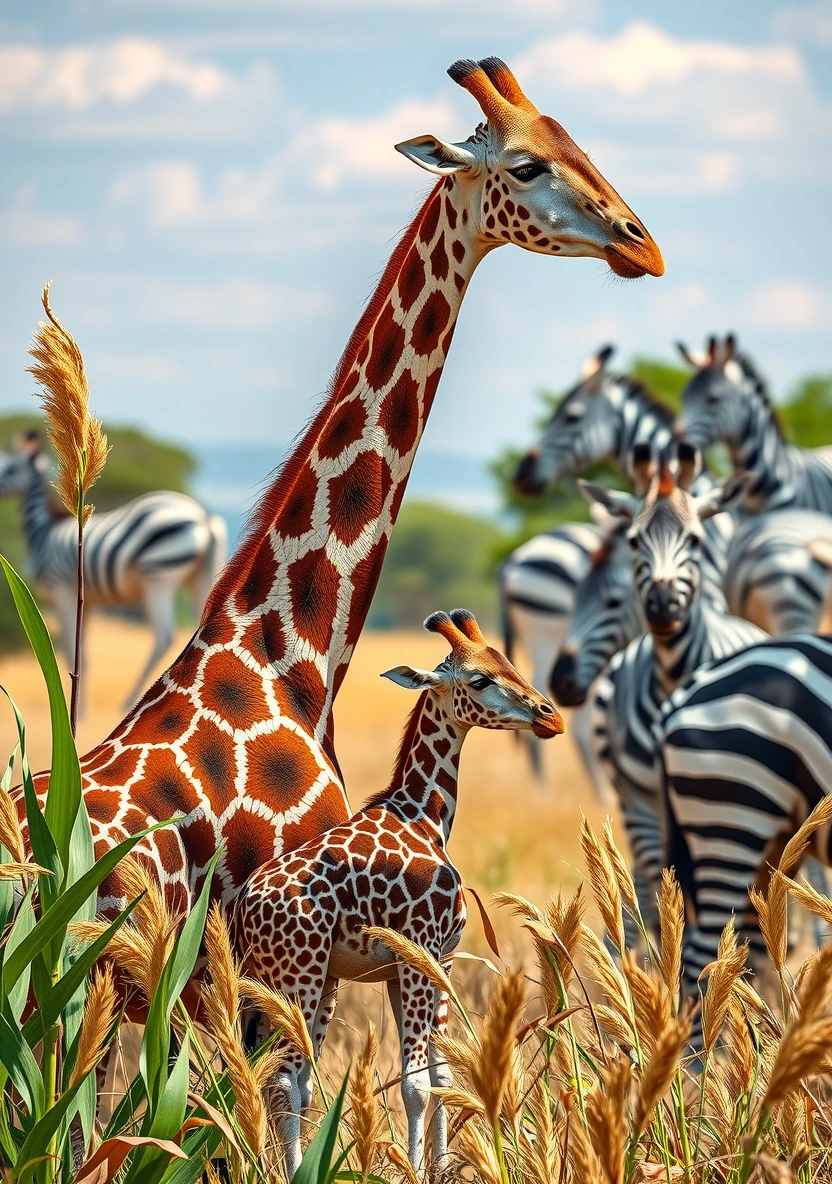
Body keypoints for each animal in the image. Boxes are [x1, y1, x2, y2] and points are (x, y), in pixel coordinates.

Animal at [0, 432, 228, 709]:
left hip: (157, 579)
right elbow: (82, 652)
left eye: (10, 469)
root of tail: (203, 516)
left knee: (163, 636)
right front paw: (79, 705)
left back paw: (131, 702)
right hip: (201, 579)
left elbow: (69, 650)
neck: (45, 531)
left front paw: (77, 708)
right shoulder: (88, 601)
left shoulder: (61, 589)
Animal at [233, 609, 565, 1176]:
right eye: (480, 679)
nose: (550, 717)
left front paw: (442, 1168)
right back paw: (295, 1172)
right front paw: (412, 1170)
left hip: (307, 980)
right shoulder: (417, 954)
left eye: (508, 661)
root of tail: (243, 910)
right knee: (285, 1081)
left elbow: (442, 1078)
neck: (424, 816)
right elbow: (413, 1086)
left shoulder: (433, 961)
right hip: (299, 976)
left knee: (286, 1080)